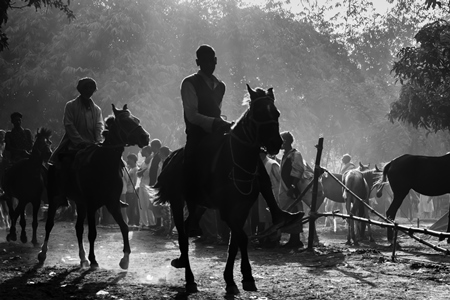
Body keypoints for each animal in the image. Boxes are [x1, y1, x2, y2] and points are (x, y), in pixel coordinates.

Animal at [37, 104, 149, 268]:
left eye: (137, 120)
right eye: (125, 121)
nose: (145, 137)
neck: (104, 164)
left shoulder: (112, 203)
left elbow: (124, 227)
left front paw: (125, 259)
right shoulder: (91, 205)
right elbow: (92, 233)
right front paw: (94, 259)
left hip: (79, 203)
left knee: (78, 228)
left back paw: (83, 258)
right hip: (55, 197)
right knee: (49, 224)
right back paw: (43, 253)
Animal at [156, 85, 284, 296]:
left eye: (276, 113)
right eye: (258, 113)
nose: (276, 143)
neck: (237, 161)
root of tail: (171, 158)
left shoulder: (242, 209)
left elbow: (235, 243)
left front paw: (234, 279)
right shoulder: (226, 212)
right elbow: (242, 238)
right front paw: (244, 277)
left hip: (198, 205)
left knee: (188, 227)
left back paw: (182, 261)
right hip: (176, 200)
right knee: (182, 235)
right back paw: (190, 280)